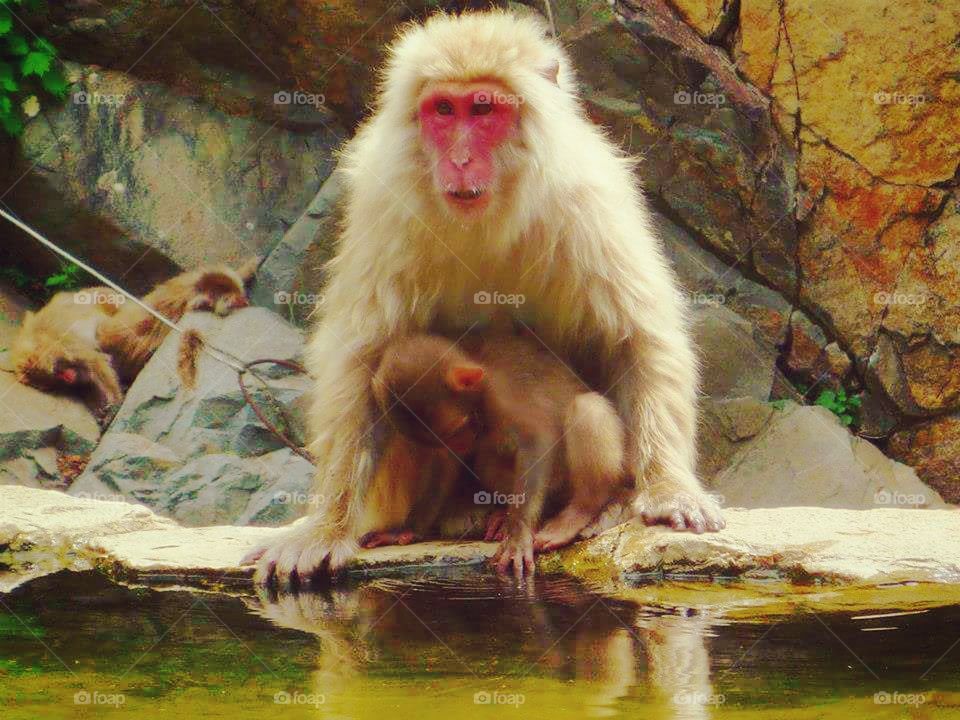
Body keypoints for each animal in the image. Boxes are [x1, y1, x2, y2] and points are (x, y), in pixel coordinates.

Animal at [369, 329, 628, 577]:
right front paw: (406, 529)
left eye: (456, 429)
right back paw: (503, 515)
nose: (460, 446)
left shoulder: (499, 395)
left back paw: (578, 512)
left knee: (587, 407)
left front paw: (518, 536)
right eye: (439, 441)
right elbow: (444, 467)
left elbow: (536, 437)